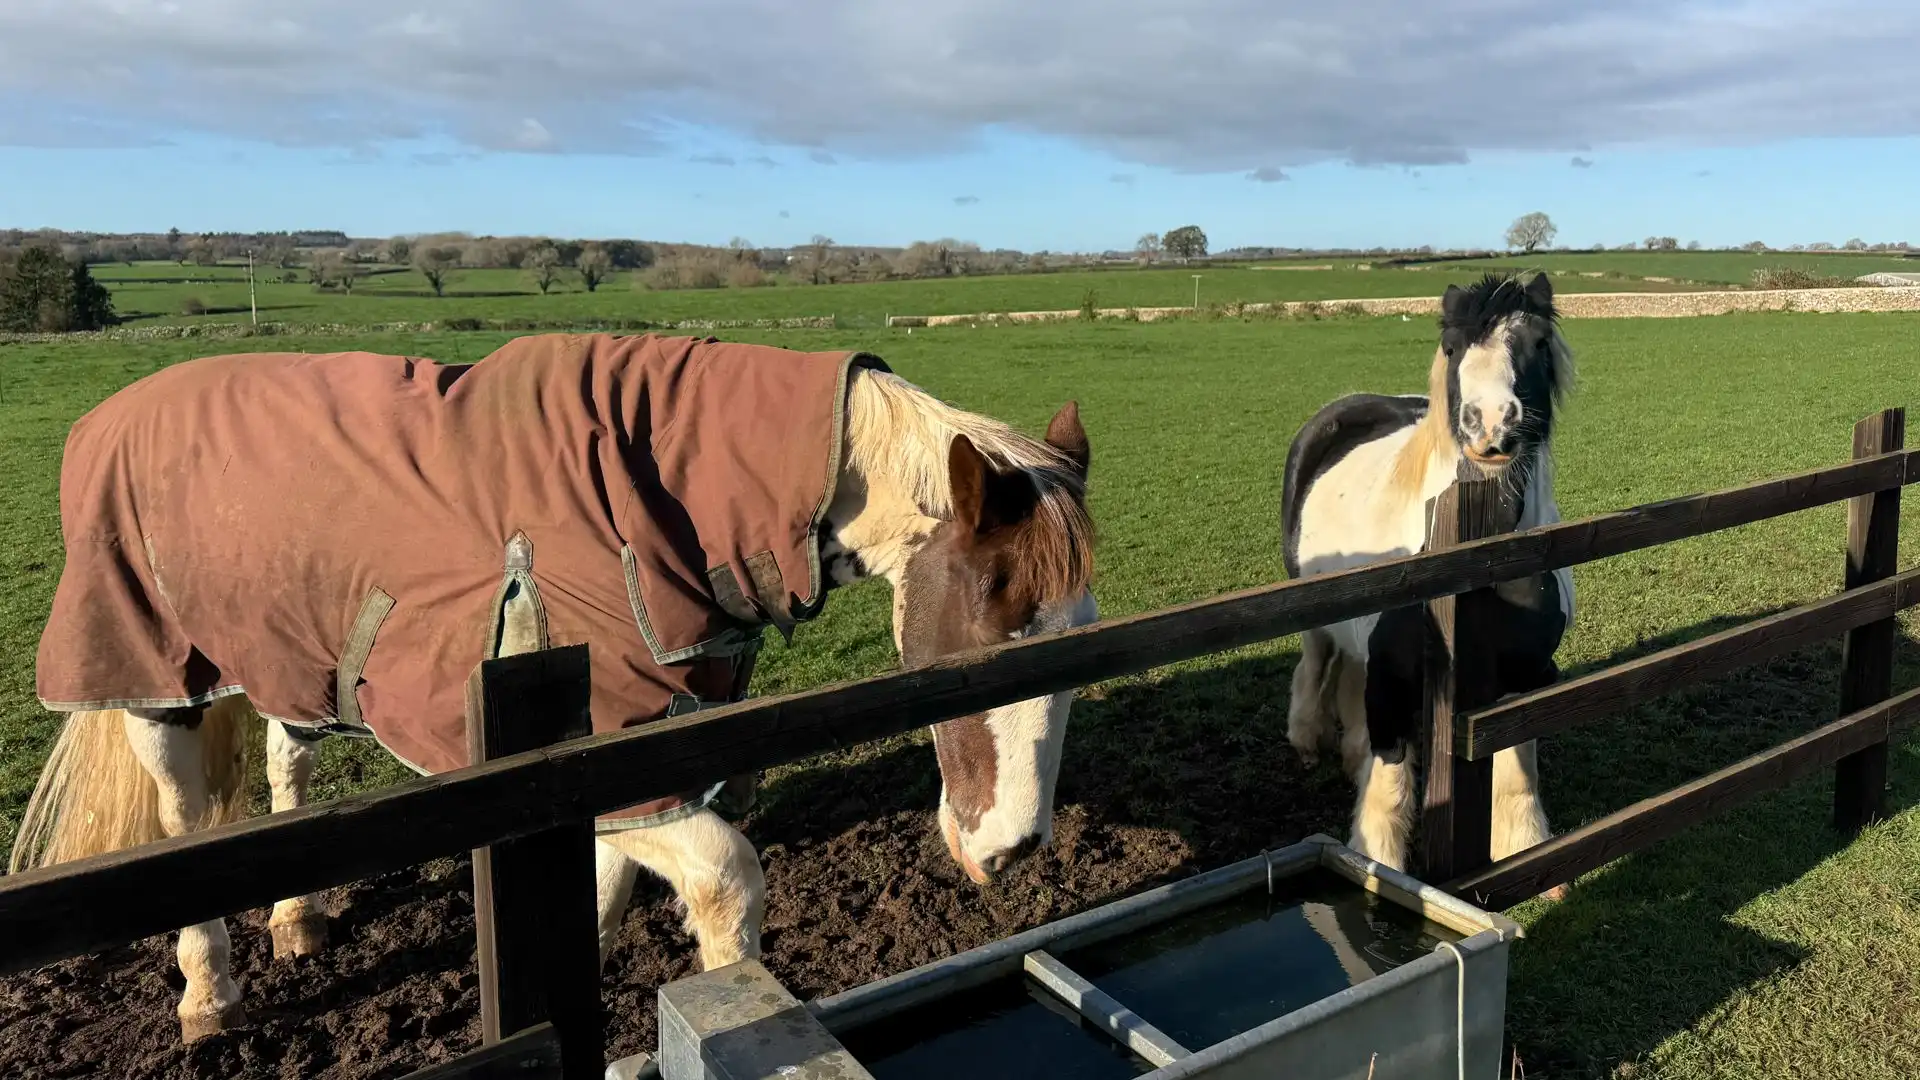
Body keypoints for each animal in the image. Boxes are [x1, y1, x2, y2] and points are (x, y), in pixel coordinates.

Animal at [9, 332, 1098, 1042]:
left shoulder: (631, 741)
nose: (1013, 850)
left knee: (286, 764)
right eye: (982, 647)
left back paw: (298, 920)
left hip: (286, 653)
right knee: (184, 825)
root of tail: (117, 408)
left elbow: (606, 868)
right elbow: (725, 884)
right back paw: (207, 994)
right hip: (152, 677)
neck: (667, 488)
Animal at [1280, 272, 1574, 887]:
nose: (1492, 423)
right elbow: (1390, 787)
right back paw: (1307, 741)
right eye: (1452, 348)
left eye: (1537, 343)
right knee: (1316, 663)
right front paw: (1378, 866)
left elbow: (1516, 771)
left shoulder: (1524, 678)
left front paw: (1527, 852)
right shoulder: (1392, 685)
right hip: (1315, 617)